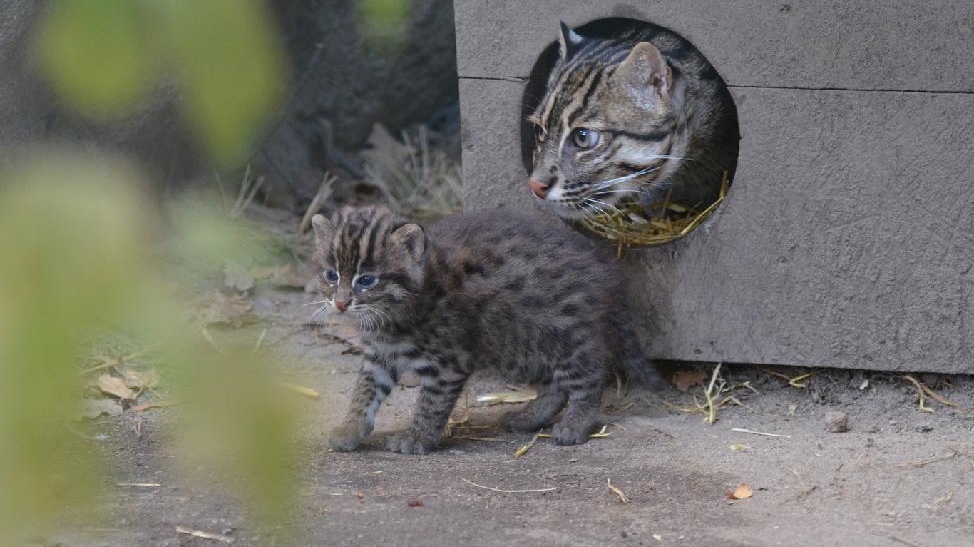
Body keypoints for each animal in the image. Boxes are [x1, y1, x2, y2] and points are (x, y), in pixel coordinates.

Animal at [312, 206, 664, 454]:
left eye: (367, 280)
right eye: (331, 275)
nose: (340, 303)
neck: (392, 318)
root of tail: (605, 267)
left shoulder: (447, 362)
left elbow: (431, 402)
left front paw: (418, 436)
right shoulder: (378, 356)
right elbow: (364, 391)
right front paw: (350, 429)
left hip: (564, 334)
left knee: (590, 375)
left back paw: (577, 424)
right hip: (523, 344)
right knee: (555, 384)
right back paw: (530, 417)